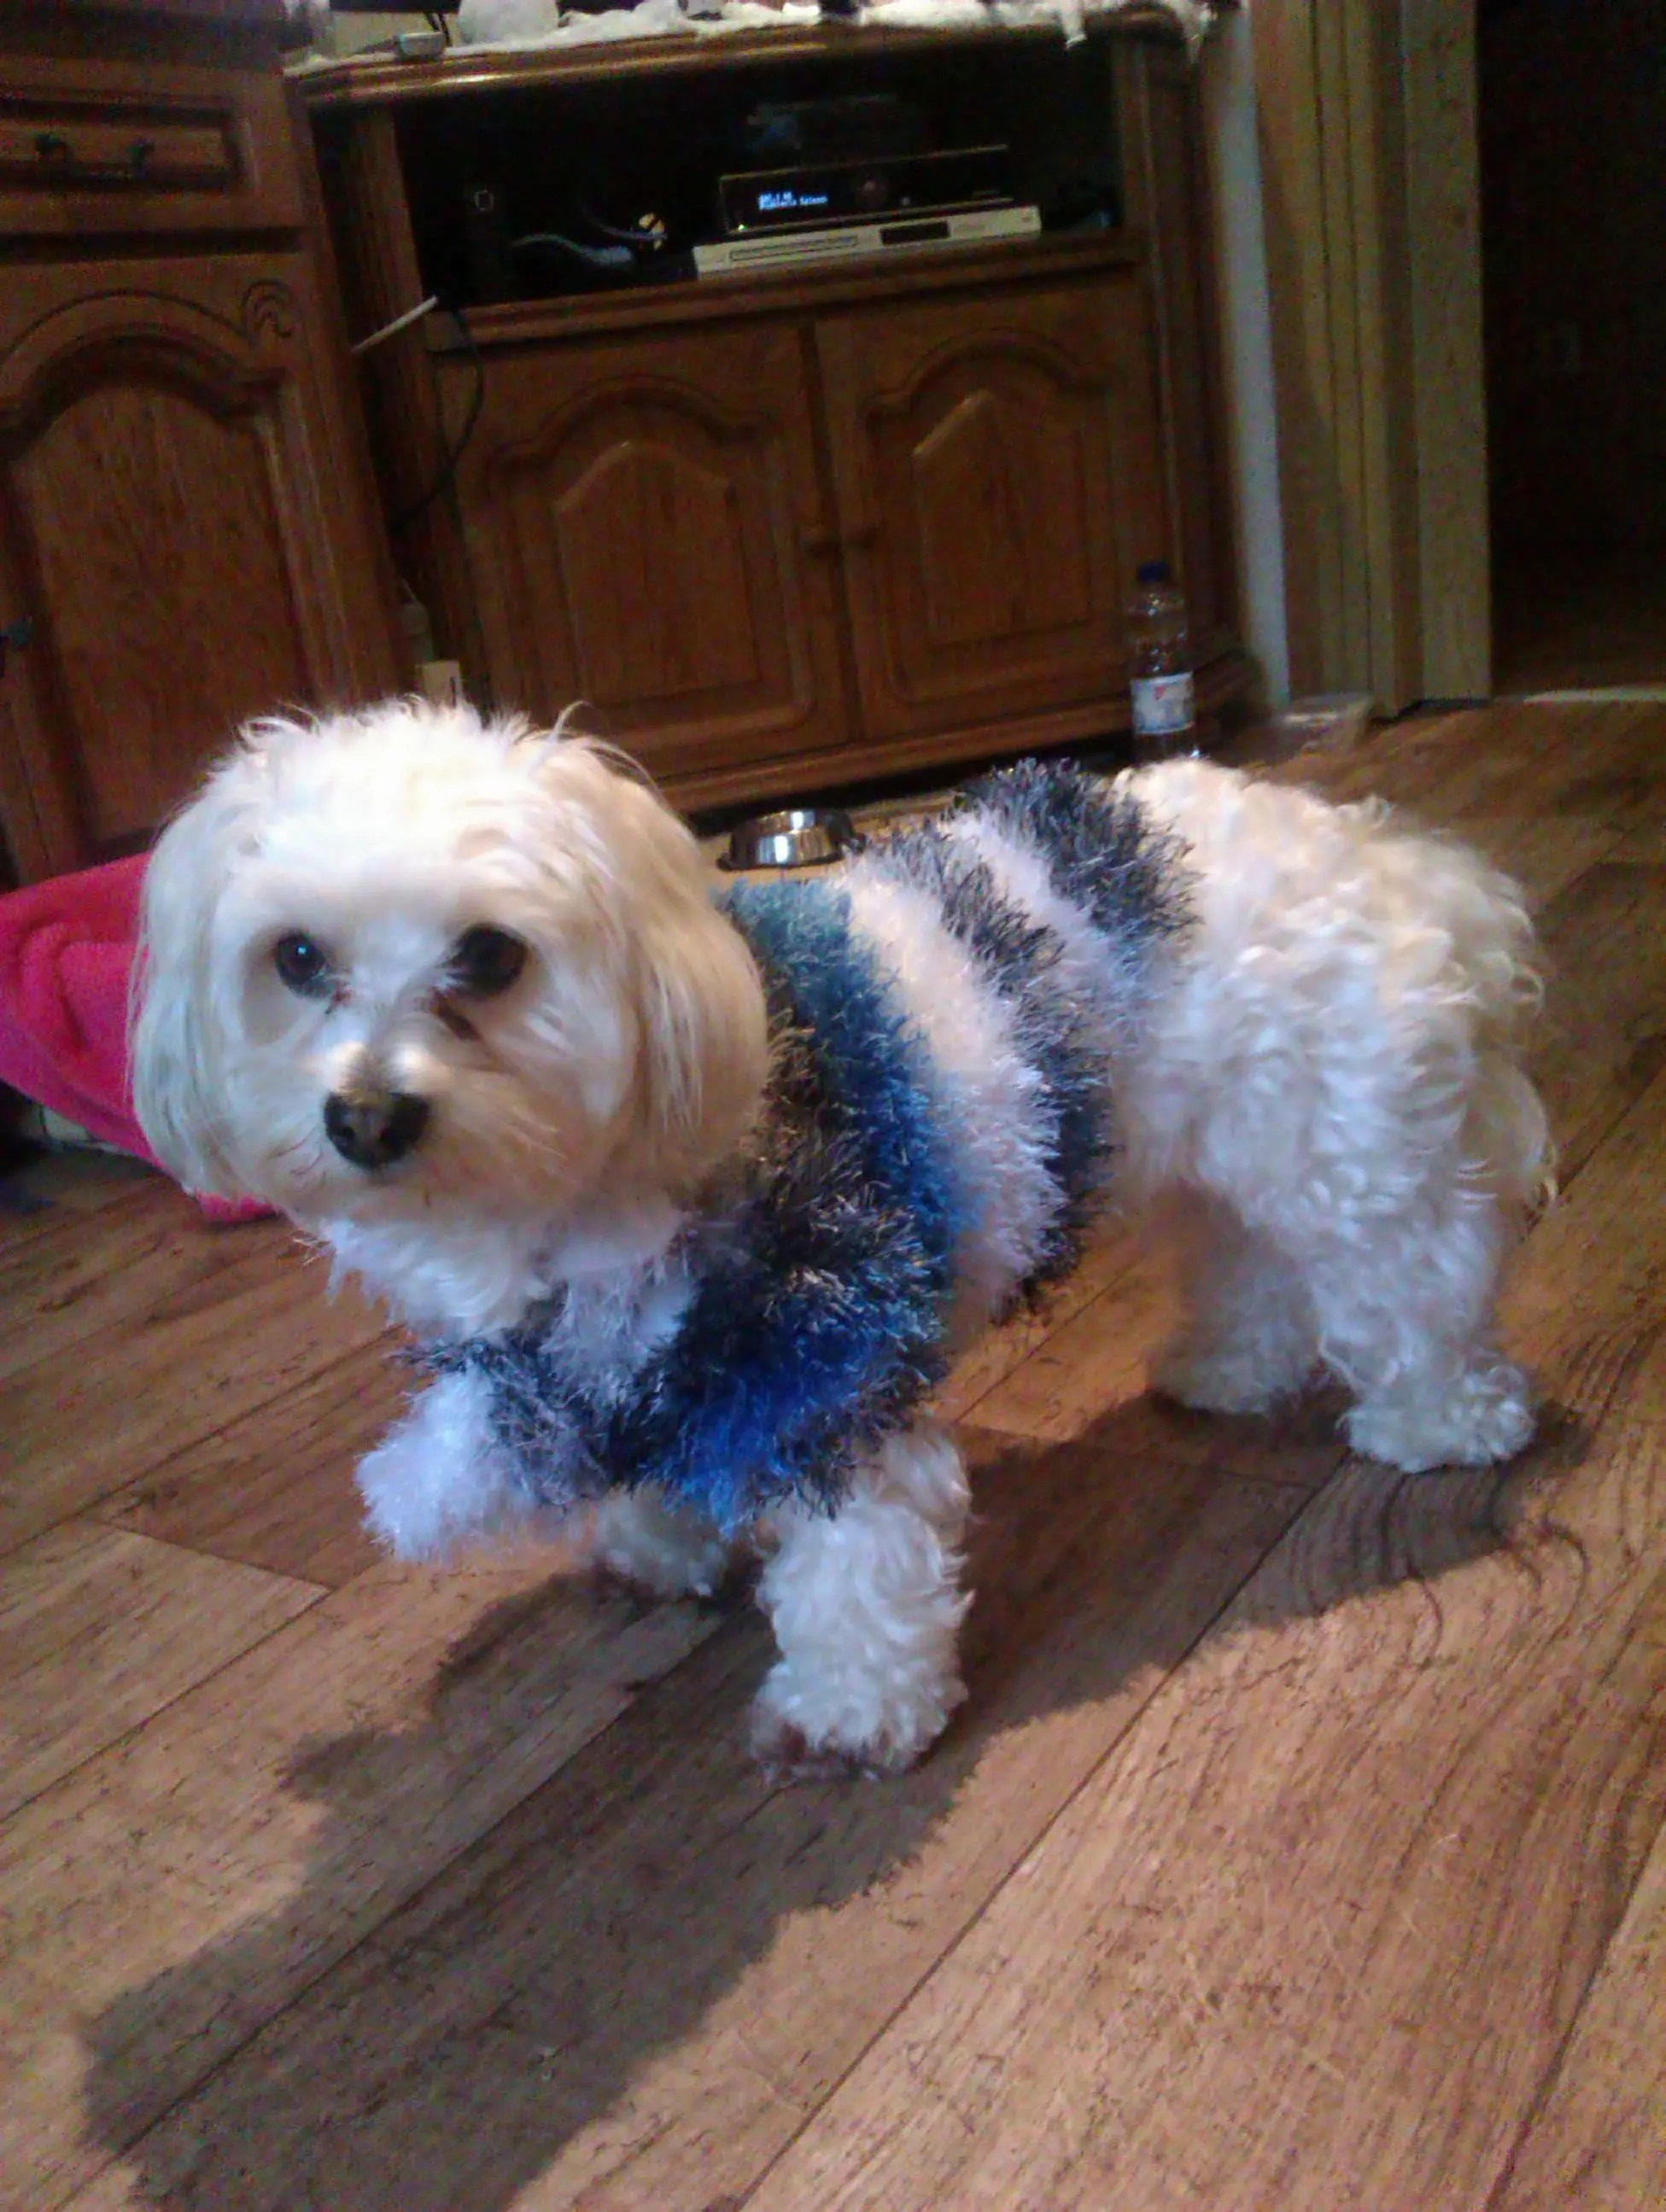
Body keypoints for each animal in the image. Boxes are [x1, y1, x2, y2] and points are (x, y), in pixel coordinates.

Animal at [132, 701, 1549, 1775]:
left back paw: (1441, 1419)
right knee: (1250, 1262)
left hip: (1343, 1151)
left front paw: (849, 1713)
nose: (367, 1114)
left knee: (1410, 1280)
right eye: (294, 957)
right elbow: (652, 1453)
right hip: (1216, 1144)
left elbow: (857, 1564)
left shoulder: (826, 1360)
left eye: (489, 954)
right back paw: (1229, 1371)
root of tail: (1370, 845)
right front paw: (661, 1541)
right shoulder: (629, 1360)